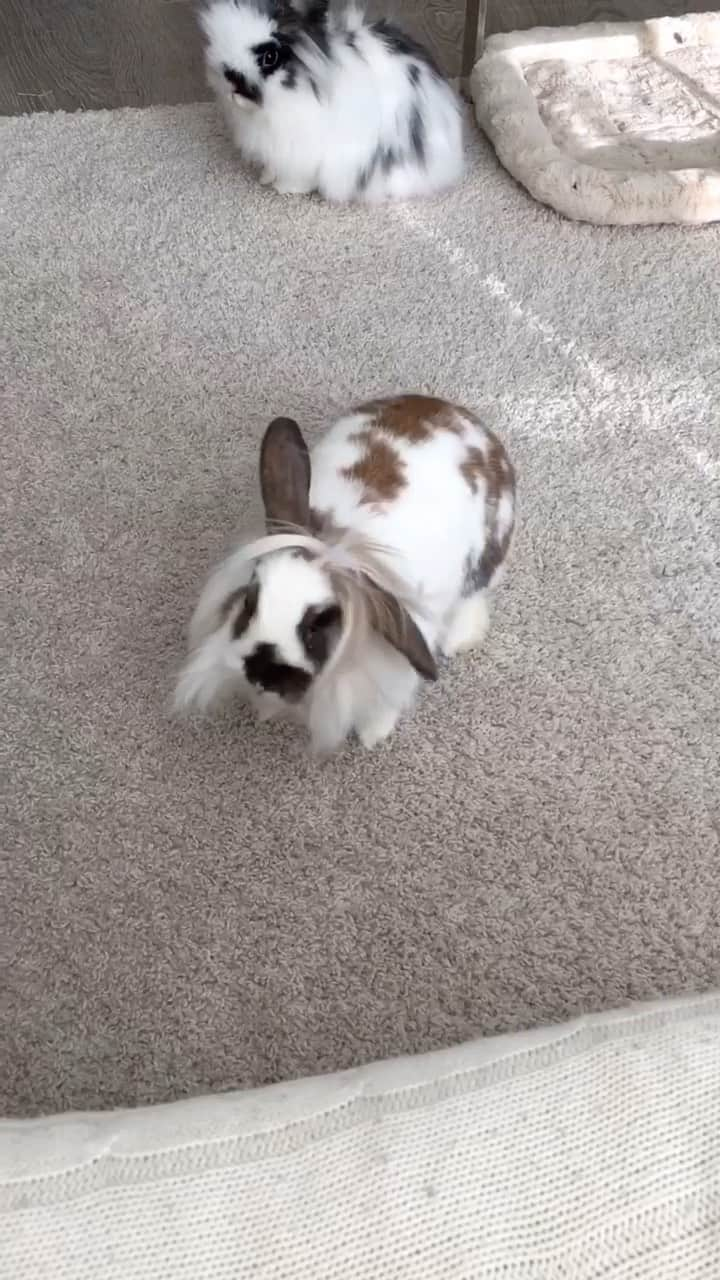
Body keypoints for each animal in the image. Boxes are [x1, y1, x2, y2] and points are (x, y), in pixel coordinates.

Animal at [172, 394, 512, 752]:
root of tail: (464, 418)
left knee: (474, 595)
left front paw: (372, 736)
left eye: (318, 624)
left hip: (489, 555)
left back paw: (458, 639)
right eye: (250, 600)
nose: (260, 675)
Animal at [198, 1, 461, 200]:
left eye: (269, 57)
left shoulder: (302, 152)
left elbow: (298, 176)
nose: (228, 75)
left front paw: (285, 188)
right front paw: (266, 178)